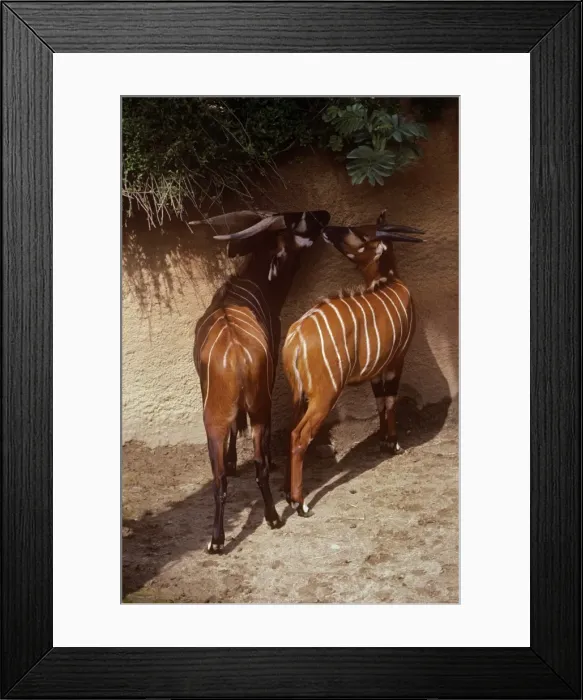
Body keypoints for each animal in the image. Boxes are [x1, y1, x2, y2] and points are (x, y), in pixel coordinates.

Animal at [192, 208, 331, 552]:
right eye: (302, 220)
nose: (325, 213)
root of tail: (236, 357)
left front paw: (232, 463)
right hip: (255, 408)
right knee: (256, 464)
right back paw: (271, 517)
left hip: (220, 416)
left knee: (222, 477)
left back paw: (219, 539)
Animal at [282, 210, 424, 515]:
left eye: (359, 233)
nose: (326, 229)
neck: (390, 282)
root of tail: (295, 339)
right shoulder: (396, 360)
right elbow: (390, 400)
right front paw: (393, 444)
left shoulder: (377, 371)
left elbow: (380, 401)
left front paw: (383, 441)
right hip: (325, 395)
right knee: (300, 436)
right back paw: (301, 504)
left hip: (297, 395)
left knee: (289, 432)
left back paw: (287, 494)